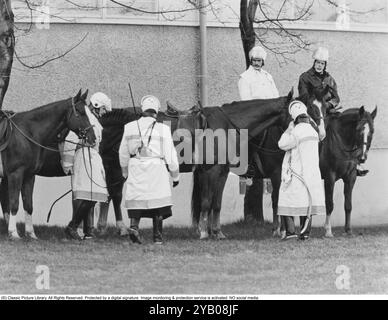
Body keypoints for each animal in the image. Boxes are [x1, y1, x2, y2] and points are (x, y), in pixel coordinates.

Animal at [0, 90, 96, 240]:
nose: (93, 138)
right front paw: (14, 233)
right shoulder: (15, 174)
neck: (28, 133)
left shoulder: (29, 176)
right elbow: (14, 203)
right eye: (80, 112)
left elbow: (29, 205)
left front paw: (31, 233)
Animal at [320, 106, 378, 236]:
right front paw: (328, 230)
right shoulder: (329, 177)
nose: (362, 158)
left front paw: (348, 230)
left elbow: (348, 205)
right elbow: (329, 204)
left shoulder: (351, 177)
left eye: (372, 131)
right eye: (358, 129)